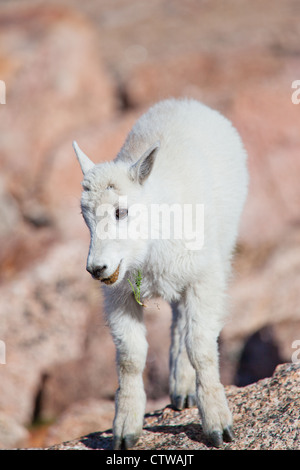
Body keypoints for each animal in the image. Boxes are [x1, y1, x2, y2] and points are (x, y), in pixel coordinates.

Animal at [72, 98, 248, 448]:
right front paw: (125, 429)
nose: (97, 268)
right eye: (84, 215)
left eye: (121, 211)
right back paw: (181, 388)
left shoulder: (204, 278)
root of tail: (186, 102)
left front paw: (218, 425)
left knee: (184, 324)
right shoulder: (119, 294)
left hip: (219, 250)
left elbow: (201, 347)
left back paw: (185, 388)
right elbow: (130, 356)